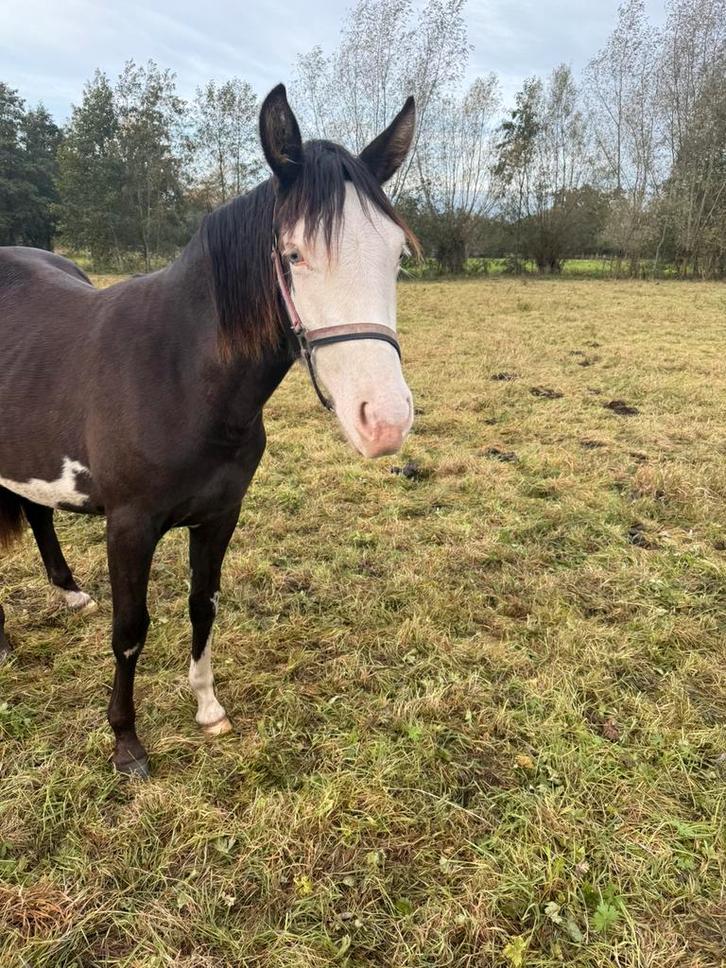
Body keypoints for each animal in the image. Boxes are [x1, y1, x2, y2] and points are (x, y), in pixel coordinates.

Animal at [0, 84, 417, 778]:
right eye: (295, 254)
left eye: (396, 254)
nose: (384, 422)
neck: (180, 376)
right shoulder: (130, 525)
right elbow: (131, 629)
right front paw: (126, 742)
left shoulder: (220, 515)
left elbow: (204, 604)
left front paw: (207, 708)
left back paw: (69, 594)